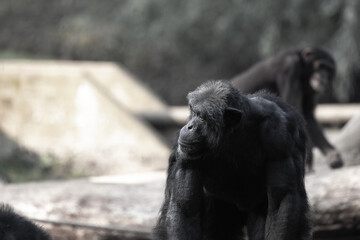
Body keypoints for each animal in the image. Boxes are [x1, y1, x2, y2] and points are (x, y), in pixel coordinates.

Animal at [153, 81, 310, 240]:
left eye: (202, 117)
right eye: (193, 112)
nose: (189, 126)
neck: (232, 132)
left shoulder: (279, 135)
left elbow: (281, 201)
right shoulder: (185, 150)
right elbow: (185, 206)